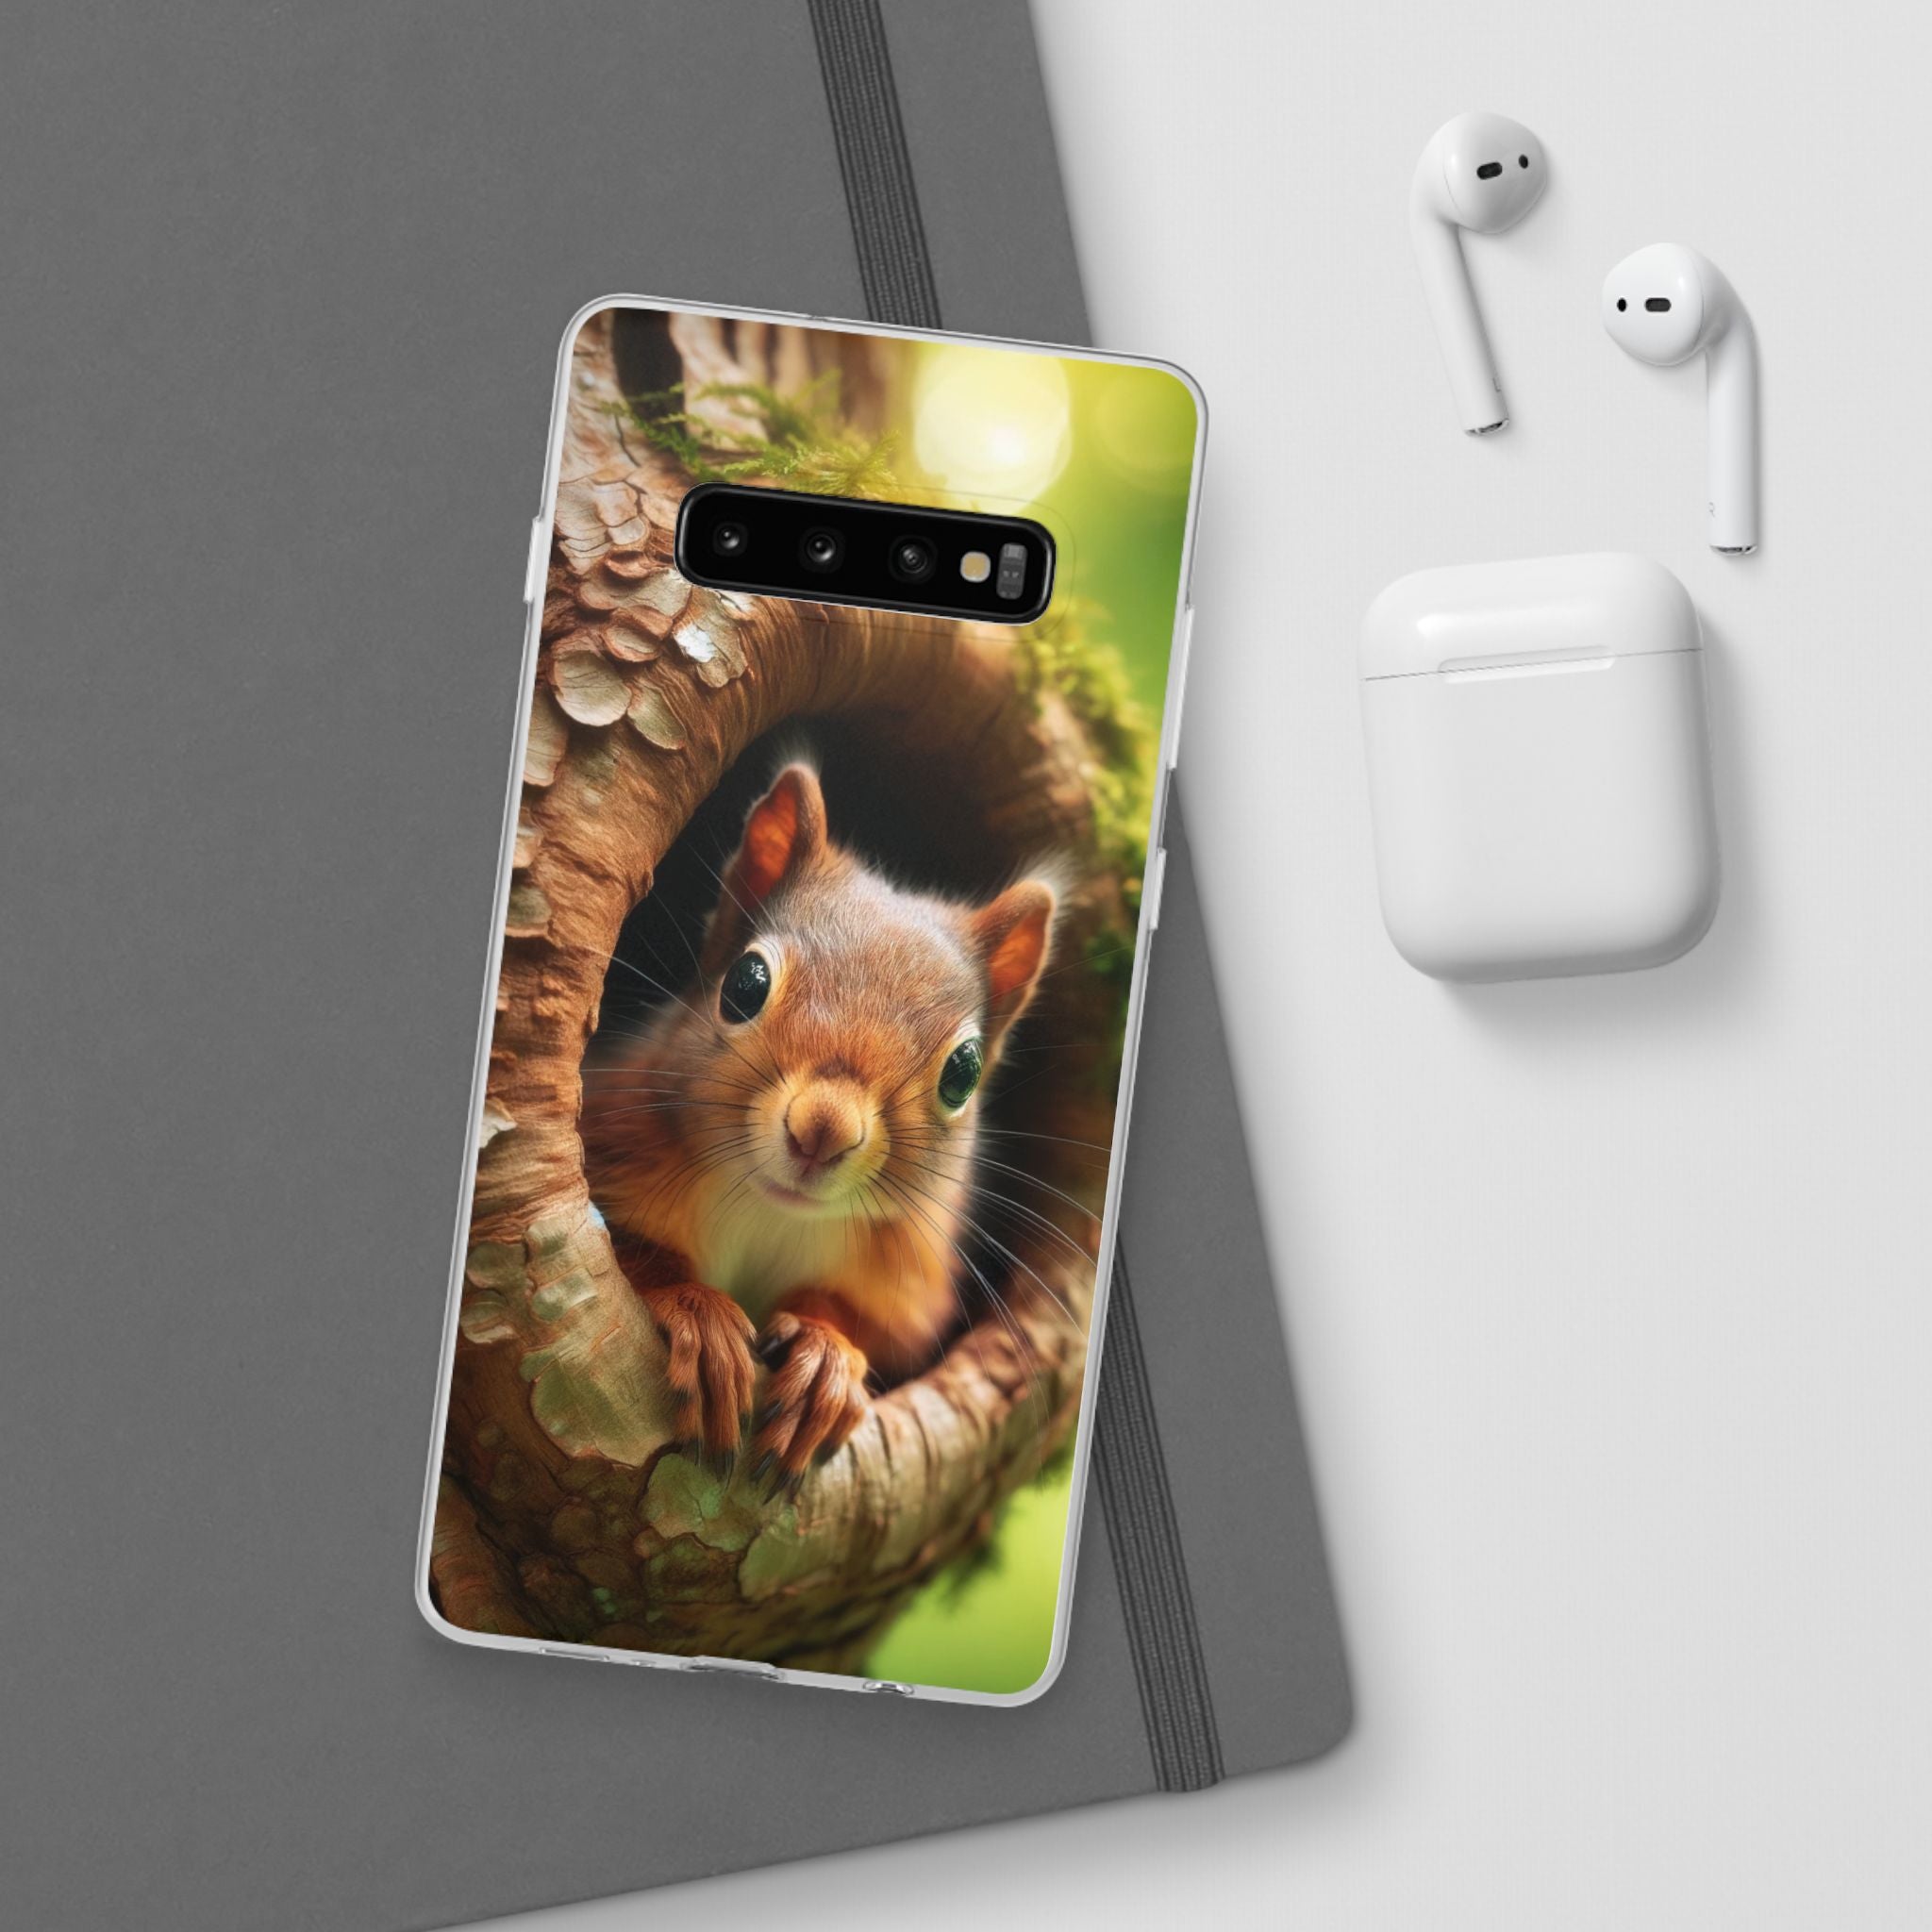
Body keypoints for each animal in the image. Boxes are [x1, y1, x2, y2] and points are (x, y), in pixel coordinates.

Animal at [581, 762, 1057, 1497]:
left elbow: (875, 1329)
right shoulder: (615, 1137)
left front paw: (823, 1357)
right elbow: (634, 1251)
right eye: (745, 985)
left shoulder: (910, 1280)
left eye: (964, 1071)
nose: (824, 1131)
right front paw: (700, 1314)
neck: (773, 1214)